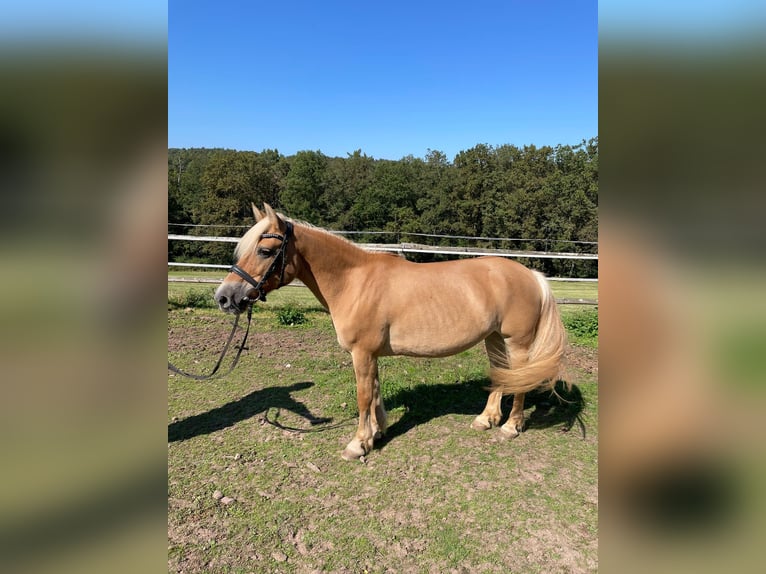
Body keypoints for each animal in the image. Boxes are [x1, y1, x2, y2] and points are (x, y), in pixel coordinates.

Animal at [213, 205, 568, 462]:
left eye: (265, 251)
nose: (225, 297)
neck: (354, 281)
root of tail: (530, 274)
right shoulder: (370, 354)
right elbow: (375, 391)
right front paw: (377, 432)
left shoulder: (362, 353)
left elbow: (363, 396)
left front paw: (358, 444)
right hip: (494, 339)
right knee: (501, 374)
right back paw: (486, 419)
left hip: (517, 342)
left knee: (520, 381)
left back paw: (510, 427)